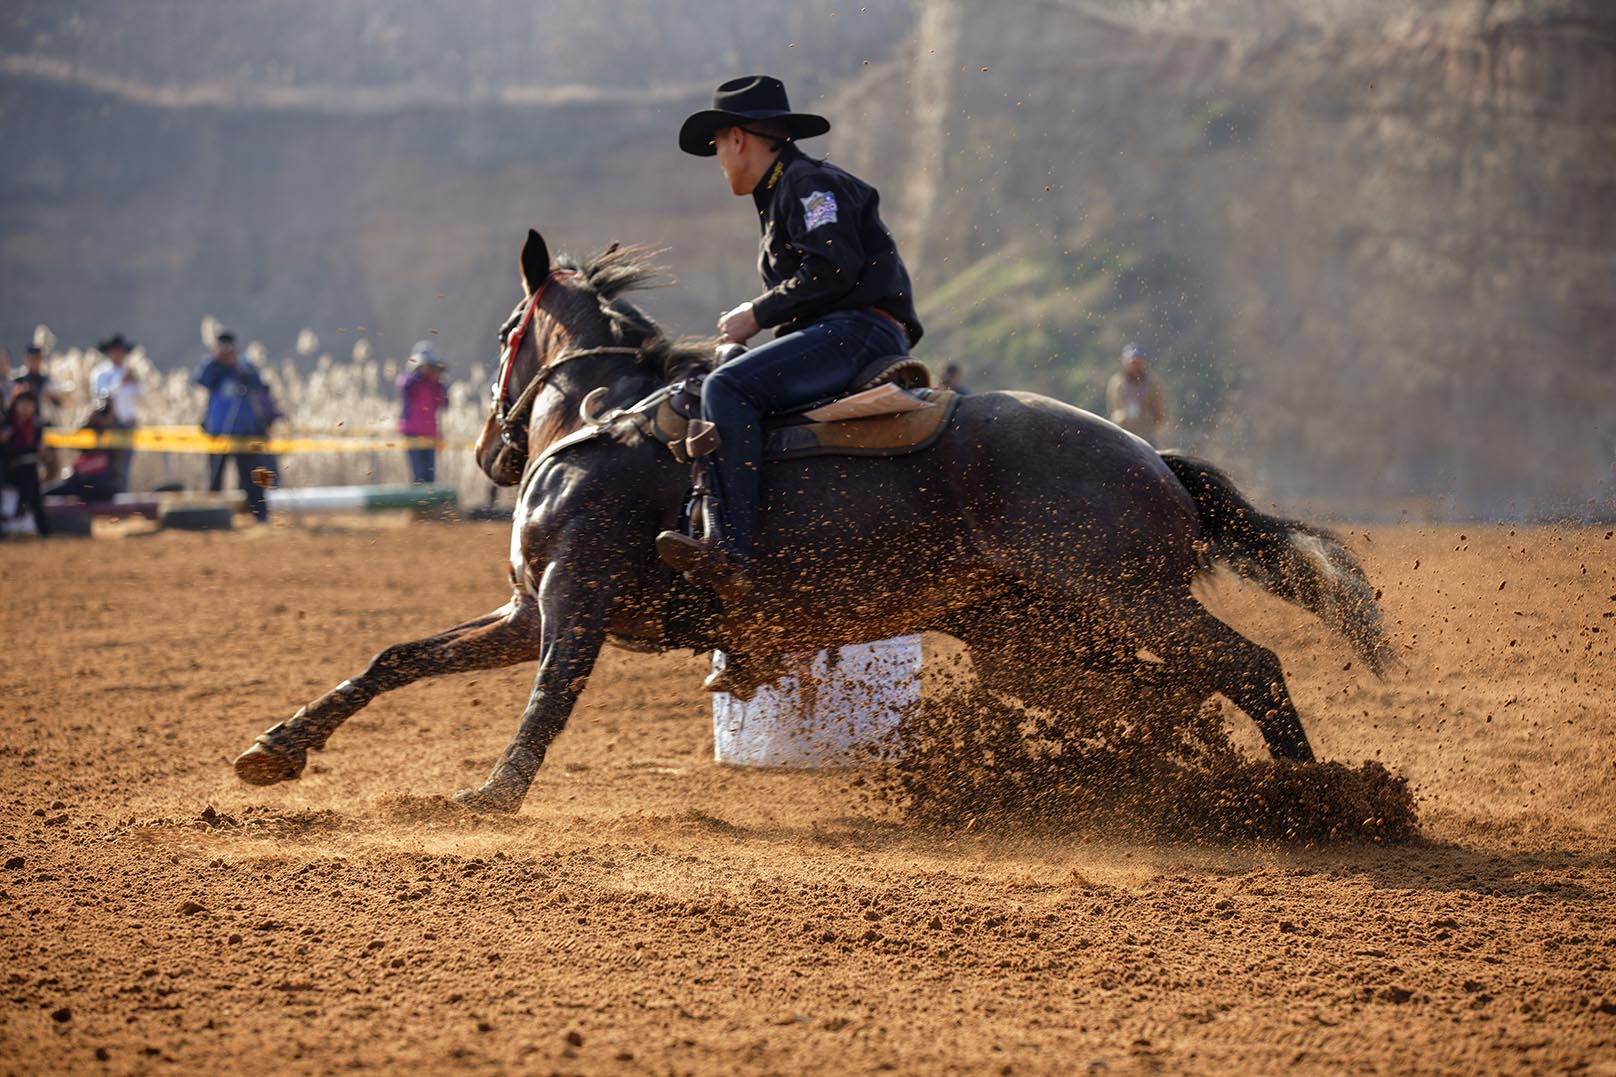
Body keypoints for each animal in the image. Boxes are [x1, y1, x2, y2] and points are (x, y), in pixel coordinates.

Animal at [234, 231, 1396, 808]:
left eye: (509, 329)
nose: (488, 451)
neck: (609, 421)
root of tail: (1151, 457)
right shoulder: (521, 609)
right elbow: (395, 658)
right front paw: (277, 749)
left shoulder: (572, 600)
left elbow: (549, 697)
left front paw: (489, 794)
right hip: (1032, 639)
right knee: (1170, 697)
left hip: (1124, 598)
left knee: (1246, 666)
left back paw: (1317, 801)